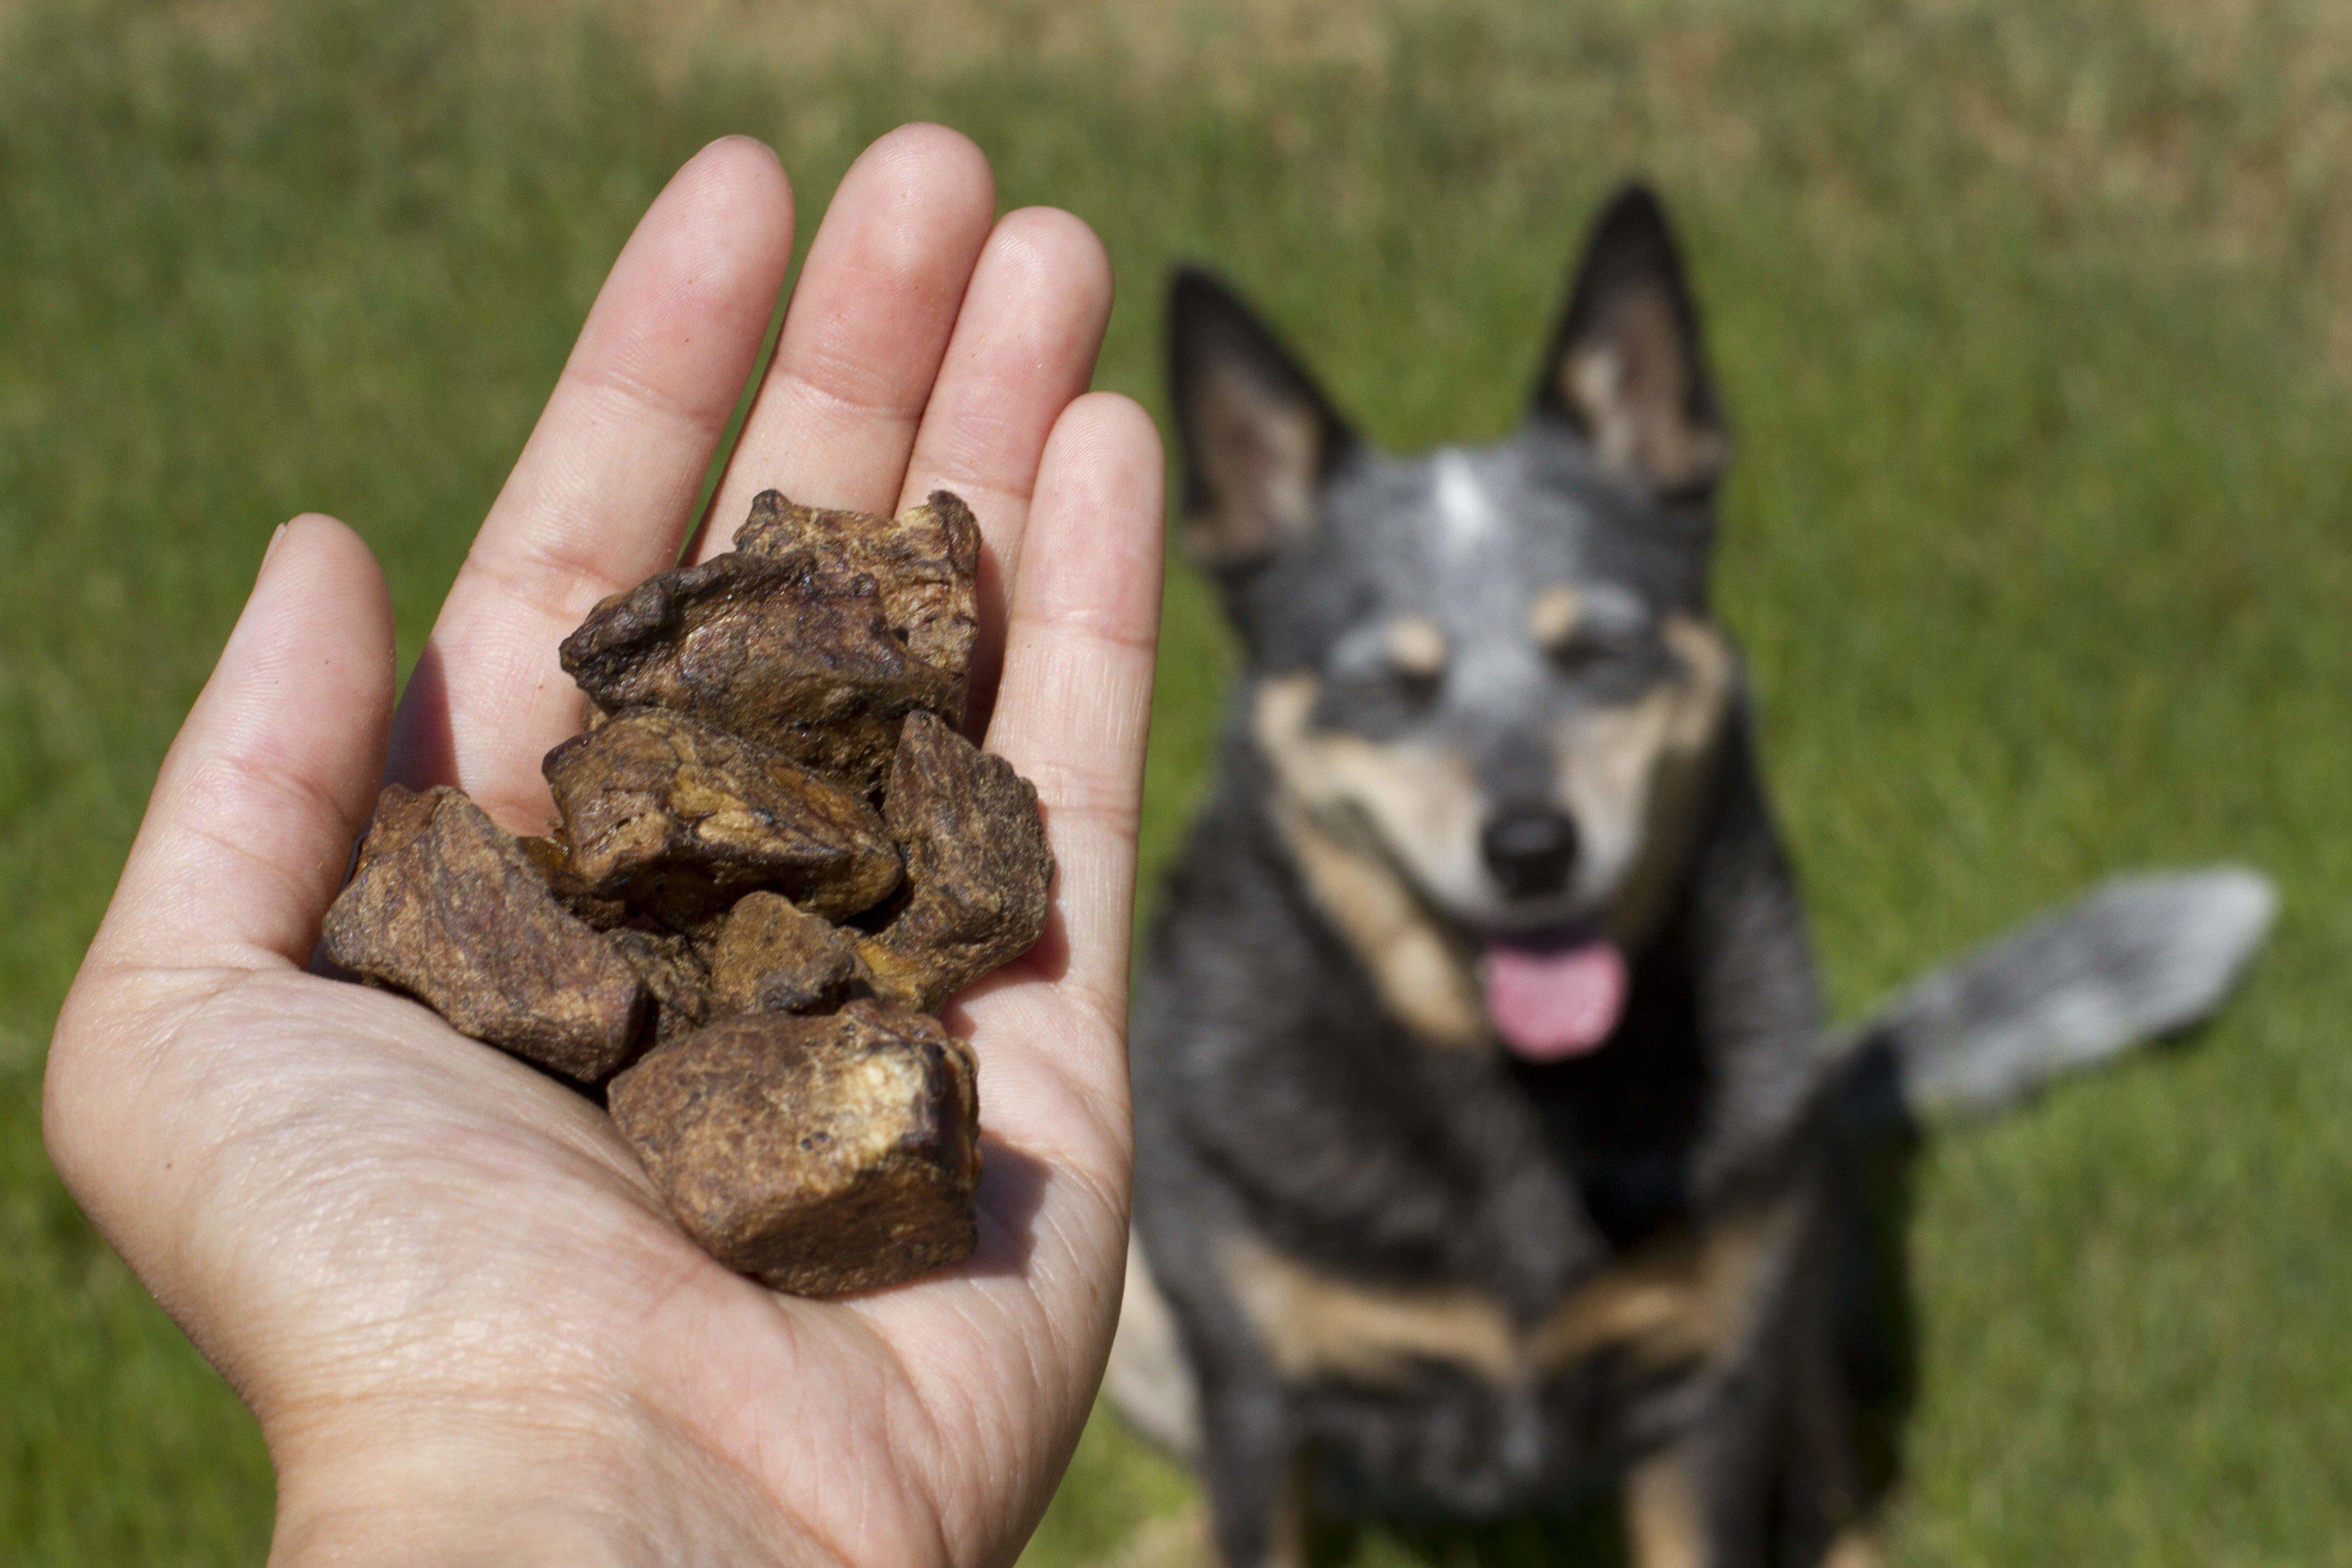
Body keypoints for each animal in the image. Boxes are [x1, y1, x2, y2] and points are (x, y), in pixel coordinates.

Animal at [1105, 187, 2276, 1568]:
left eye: (1604, 650)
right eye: (1389, 684)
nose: (1532, 848)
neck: (1519, 1109)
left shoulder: (1705, 1389)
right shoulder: (1255, 1393)